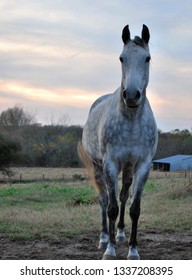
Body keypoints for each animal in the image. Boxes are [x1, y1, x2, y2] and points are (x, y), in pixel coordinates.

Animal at [78, 25, 158, 260]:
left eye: (147, 58)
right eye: (122, 58)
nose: (131, 95)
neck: (131, 120)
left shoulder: (142, 166)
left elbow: (134, 208)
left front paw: (133, 250)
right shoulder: (110, 165)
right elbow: (111, 207)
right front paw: (110, 251)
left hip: (128, 168)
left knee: (123, 196)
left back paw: (120, 234)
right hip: (98, 167)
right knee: (104, 200)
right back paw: (105, 238)